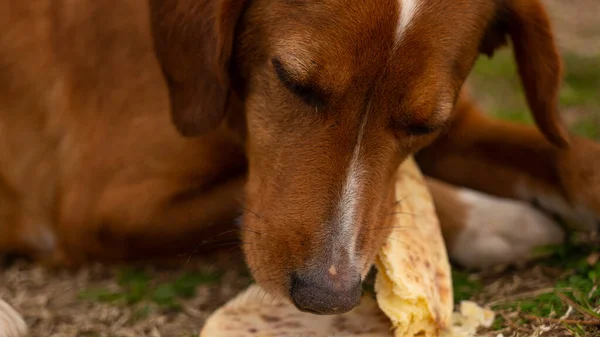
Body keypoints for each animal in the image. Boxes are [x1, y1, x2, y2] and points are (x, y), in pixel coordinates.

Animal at [0, 0, 596, 314]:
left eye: (424, 125)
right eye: (292, 80)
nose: (326, 296)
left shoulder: (460, 129)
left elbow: (572, 156)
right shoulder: (106, 211)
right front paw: (497, 221)